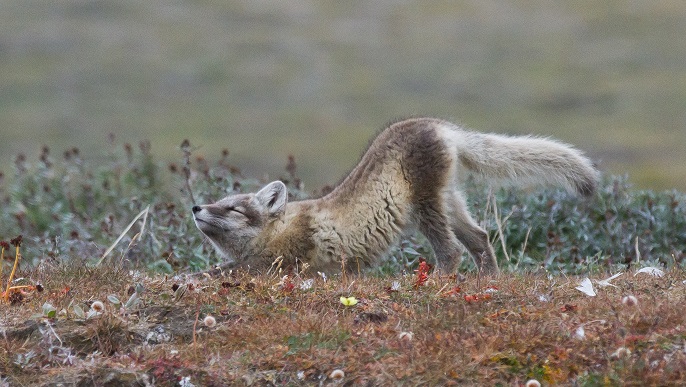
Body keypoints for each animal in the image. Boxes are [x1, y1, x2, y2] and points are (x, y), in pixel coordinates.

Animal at [191, 118, 600, 276]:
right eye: (217, 201)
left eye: (231, 209)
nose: (195, 207)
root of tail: (439, 125)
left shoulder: (285, 265)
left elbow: (221, 272)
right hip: (448, 200)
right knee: (480, 238)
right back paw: (489, 281)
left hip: (425, 206)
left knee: (452, 250)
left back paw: (435, 284)